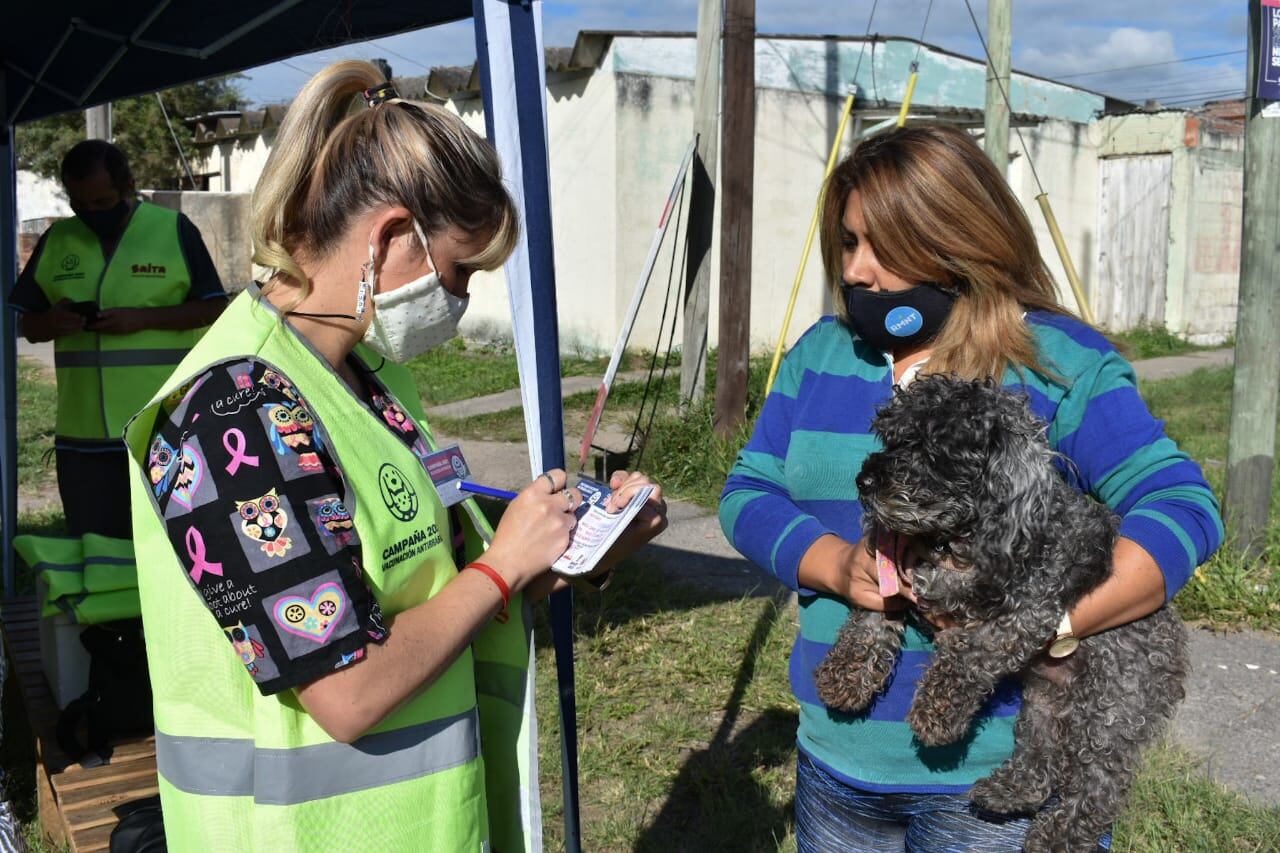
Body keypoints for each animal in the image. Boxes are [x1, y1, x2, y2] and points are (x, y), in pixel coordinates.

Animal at [819, 373, 1187, 850]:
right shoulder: (890, 576)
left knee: (1101, 785)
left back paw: (1057, 837)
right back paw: (1007, 792)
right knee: (1042, 758)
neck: (951, 538)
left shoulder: (1027, 614)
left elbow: (967, 653)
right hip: (1044, 700)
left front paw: (937, 710)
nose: (864, 480)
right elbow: (868, 618)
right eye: (892, 436)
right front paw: (844, 675)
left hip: (1113, 705)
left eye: (934, 449)